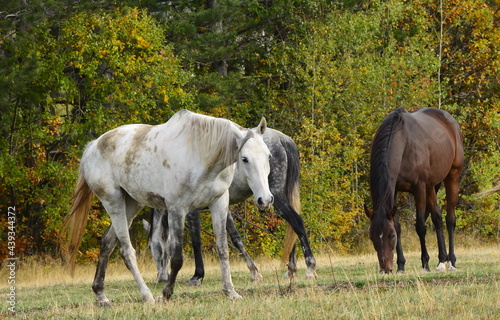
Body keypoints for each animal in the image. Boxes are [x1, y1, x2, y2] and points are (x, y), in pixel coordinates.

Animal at [65, 109, 276, 304]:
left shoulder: (219, 203)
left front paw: (230, 292)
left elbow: (223, 249)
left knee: (107, 243)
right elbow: (176, 257)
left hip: (132, 204)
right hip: (114, 202)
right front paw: (166, 293)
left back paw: (101, 295)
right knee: (126, 251)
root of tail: (93, 146)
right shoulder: (177, 209)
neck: (201, 153)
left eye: (268, 156)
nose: (265, 200)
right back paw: (147, 296)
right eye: (244, 158)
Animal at [364, 107, 464, 272]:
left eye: (390, 236)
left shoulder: (419, 188)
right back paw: (441, 260)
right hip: (431, 186)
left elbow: (420, 226)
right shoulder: (394, 191)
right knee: (437, 216)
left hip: (452, 176)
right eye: (372, 237)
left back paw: (450, 262)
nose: (386, 269)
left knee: (450, 219)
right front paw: (401, 265)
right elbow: (398, 226)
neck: (403, 143)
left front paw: (425, 263)